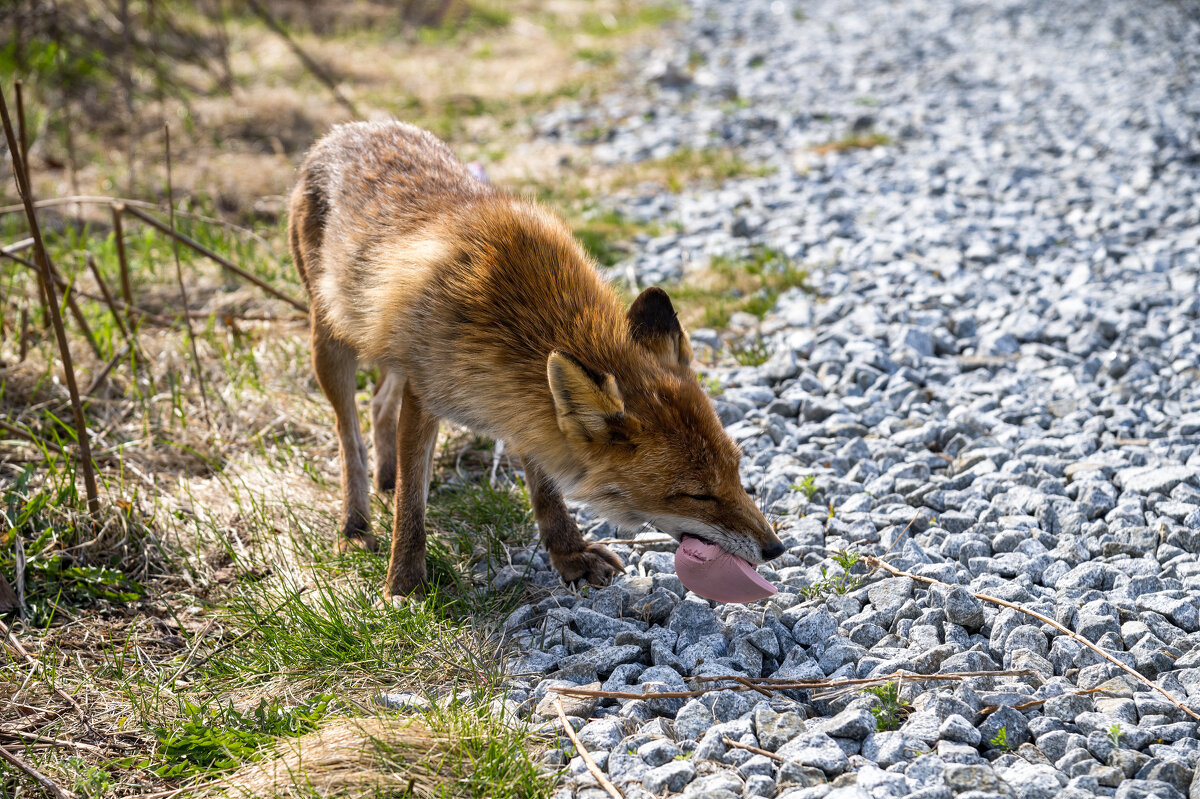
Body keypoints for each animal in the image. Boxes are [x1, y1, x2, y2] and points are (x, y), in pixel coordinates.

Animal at [285, 119, 782, 597]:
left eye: (736, 468)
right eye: (697, 496)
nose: (775, 548)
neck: (513, 313)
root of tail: (345, 131)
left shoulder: (522, 404)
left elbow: (545, 488)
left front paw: (569, 554)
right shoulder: (427, 395)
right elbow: (411, 505)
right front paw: (404, 583)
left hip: (386, 346)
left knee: (378, 405)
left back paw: (384, 478)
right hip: (330, 343)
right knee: (349, 436)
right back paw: (356, 523)